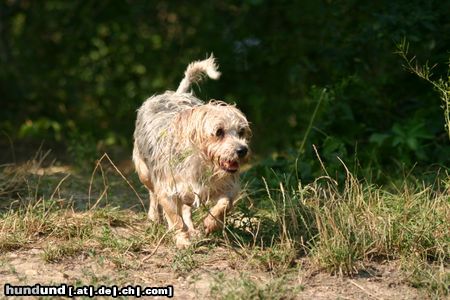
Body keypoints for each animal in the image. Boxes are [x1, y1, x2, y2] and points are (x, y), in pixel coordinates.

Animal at [132, 56, 251, 248]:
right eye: (219, 132)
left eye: (241, 132)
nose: (242, 150)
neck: (201, 163)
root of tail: (175, 93)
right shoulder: (167, 190)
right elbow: (175, 219)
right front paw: (182, 240)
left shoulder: (228, 187)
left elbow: (224, 204)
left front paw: (211, 223)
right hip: (145, 172)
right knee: (153, 195)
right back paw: (154, 218)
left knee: (186, 210)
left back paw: (193, 229)